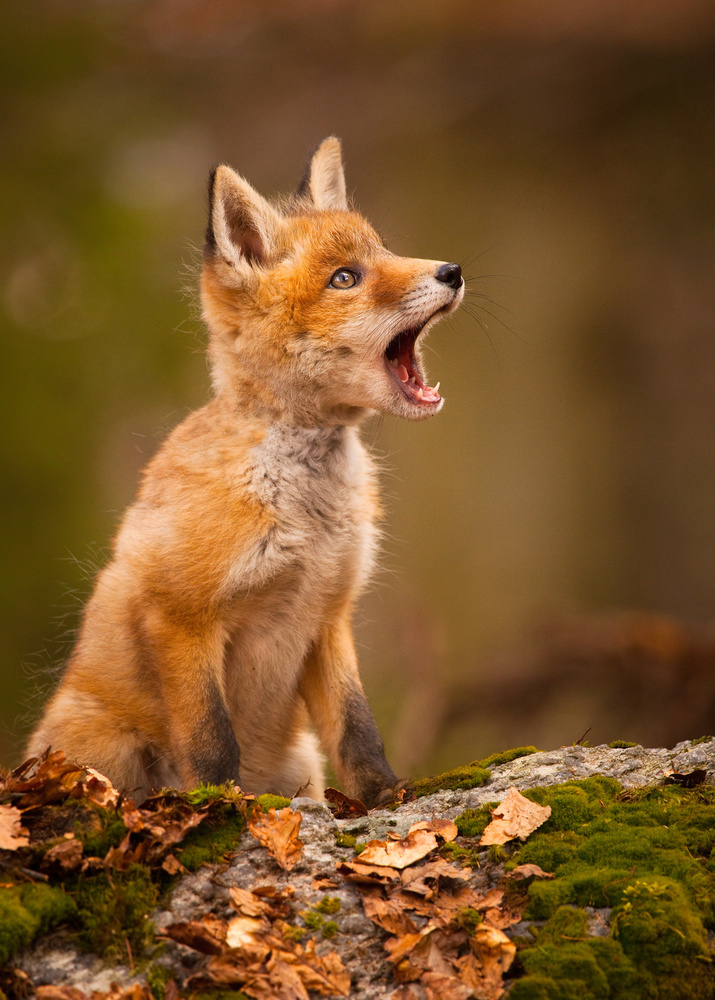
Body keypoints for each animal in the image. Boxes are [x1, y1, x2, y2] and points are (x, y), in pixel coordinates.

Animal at [26, 139, 464, 804]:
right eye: (345, 278)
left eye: (384, 252)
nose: (452, 271)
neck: (307, 514)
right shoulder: (182, 618)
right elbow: (211, 741)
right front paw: (221, 808)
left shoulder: (329, 614)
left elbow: (358, 729)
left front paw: (386, 798)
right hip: (105, 749)